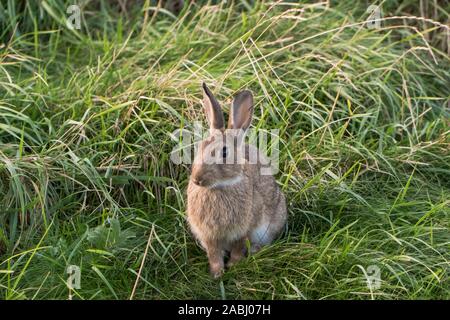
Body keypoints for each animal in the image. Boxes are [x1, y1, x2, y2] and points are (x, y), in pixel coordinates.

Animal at [187, 82, 288, 278]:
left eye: (225, 152)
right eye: (200, 147)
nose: (197, 179)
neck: (218, 187)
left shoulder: (245, 230)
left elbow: (238, 248)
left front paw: (233, 265)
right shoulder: (208, 235)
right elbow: (214, 253)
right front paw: (217, 273)